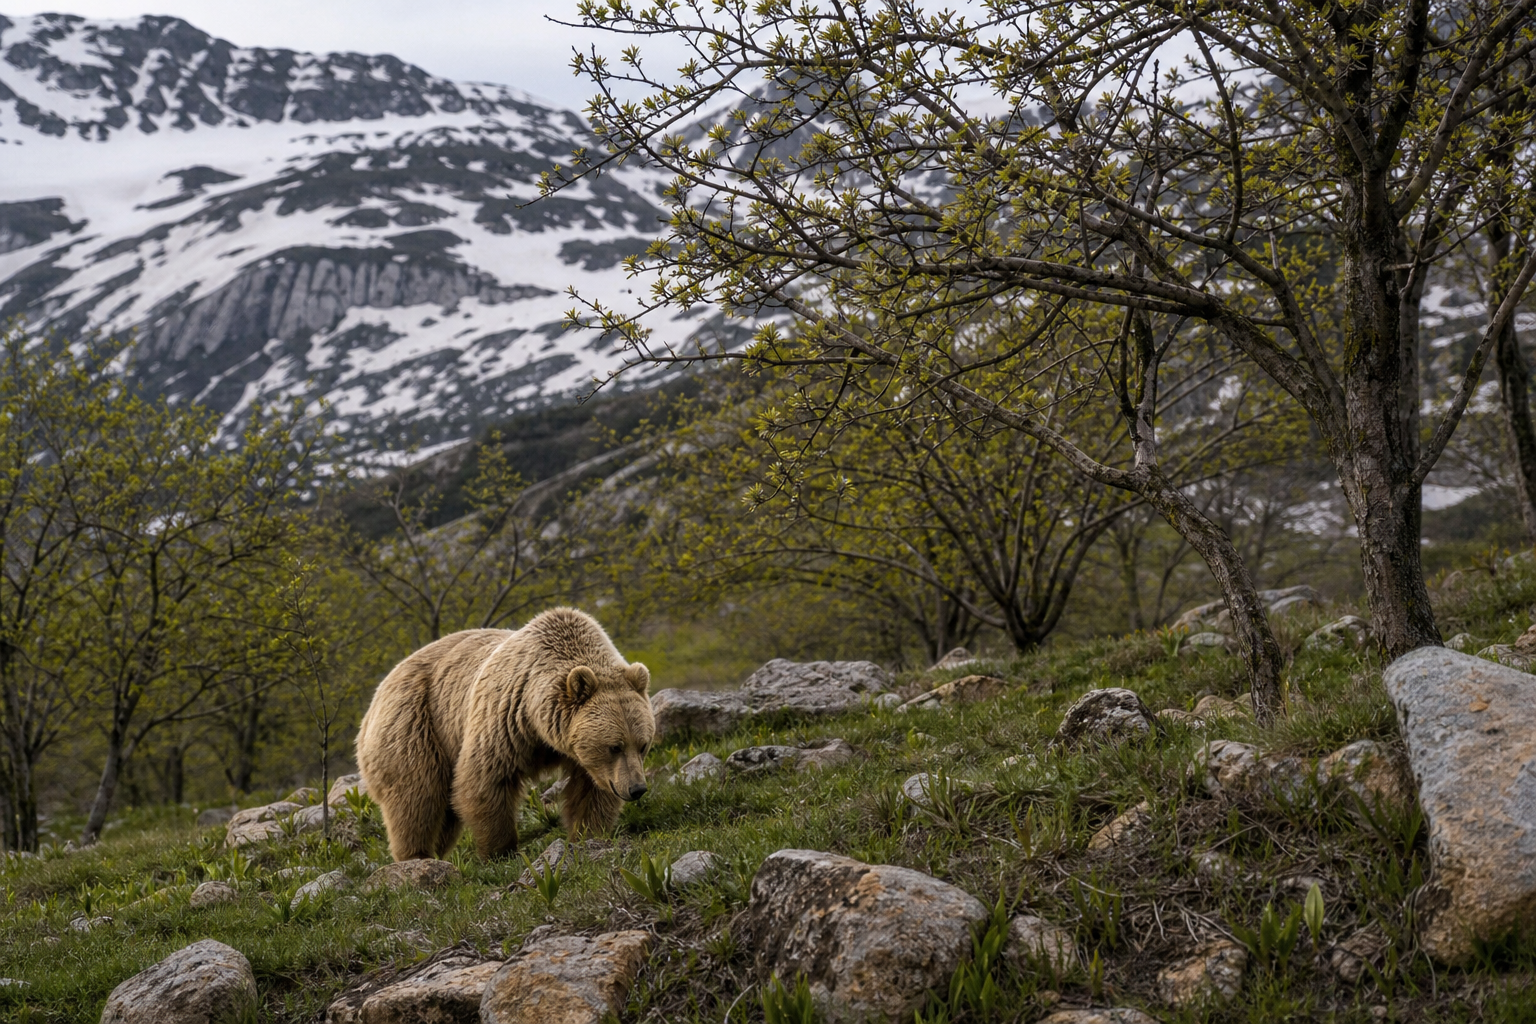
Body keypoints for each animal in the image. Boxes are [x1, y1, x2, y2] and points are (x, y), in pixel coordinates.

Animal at [355, 607, 655, 862]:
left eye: (643, 745)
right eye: (614, 746)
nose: (637, 789)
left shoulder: (579, 752)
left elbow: (591, 791)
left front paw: (588, 834)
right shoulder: (506, 719)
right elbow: (485, 780)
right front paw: (501, 852)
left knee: (443, 817)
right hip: (415, 725)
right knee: (417, 797)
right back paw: (416, 856)